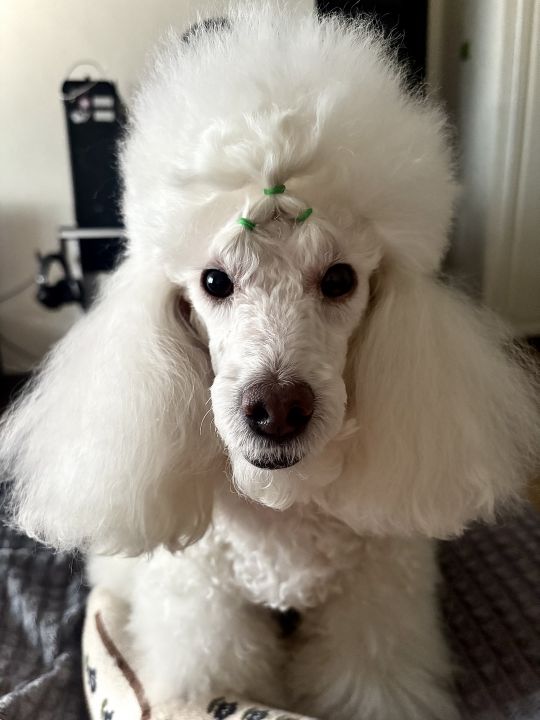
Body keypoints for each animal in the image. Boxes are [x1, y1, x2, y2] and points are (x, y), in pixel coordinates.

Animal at [1, 6, 539, 719]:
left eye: (340, 279)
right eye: (213, 282)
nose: (277, 409)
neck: (284, 502)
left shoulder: (374, 607)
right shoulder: (207, 614)